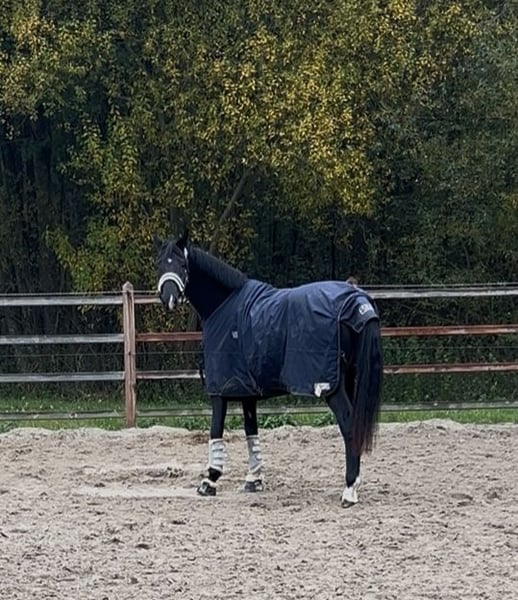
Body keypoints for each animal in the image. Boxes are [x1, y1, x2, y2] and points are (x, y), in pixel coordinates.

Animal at [154, 231, 383, 506]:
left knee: (349, 425)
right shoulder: (247, 391)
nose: (169, 299)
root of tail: (356, 300)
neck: (223, 305)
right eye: (158, 264)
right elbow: (251, 431)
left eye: (182, 264)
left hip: (330, 386)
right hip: (346, 378)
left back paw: (349, 489)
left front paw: (209, 480)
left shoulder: (219, 390)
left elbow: (215, 430)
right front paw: (253, 479)